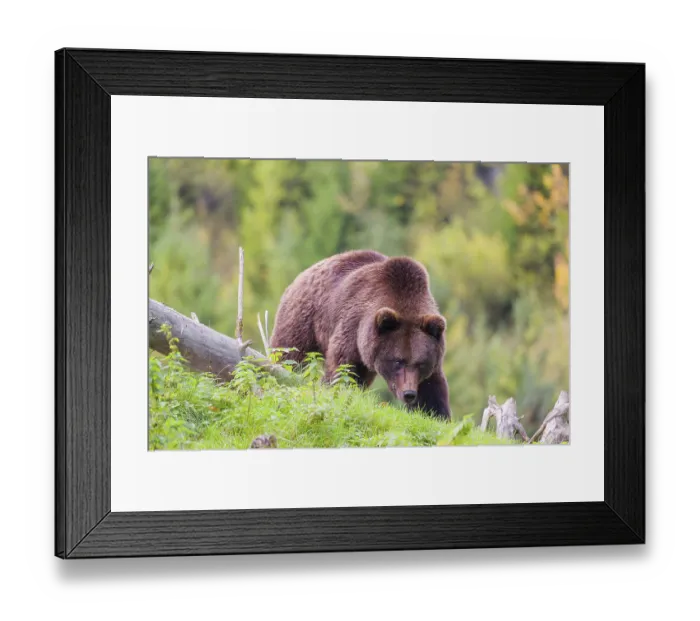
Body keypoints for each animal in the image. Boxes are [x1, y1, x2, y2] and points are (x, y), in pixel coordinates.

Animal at [270, 250, 451, 420]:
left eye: (421, 363)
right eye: (397, 361)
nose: (409, 393)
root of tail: (302, 274)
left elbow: (432, 389)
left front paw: (436, 414)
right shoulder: (353, 327)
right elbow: (343, 371)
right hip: (303, 318)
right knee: (289, 353)